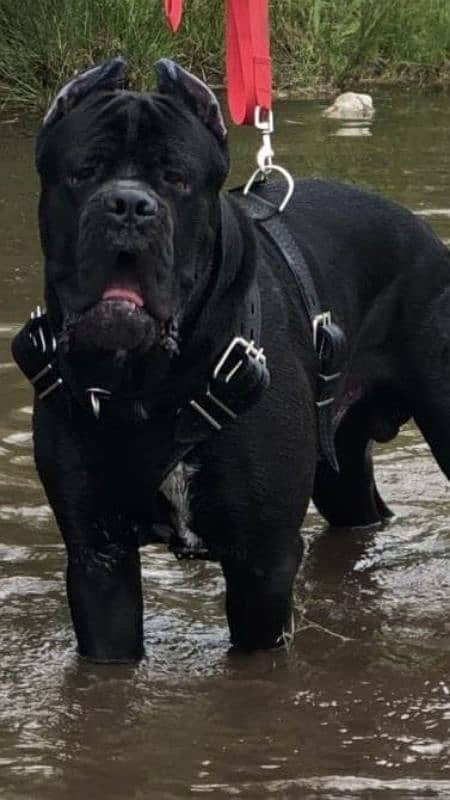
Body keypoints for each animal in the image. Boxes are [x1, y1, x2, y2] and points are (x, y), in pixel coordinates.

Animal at [12, 56, 450, 664]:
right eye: (83, 171)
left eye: (177, 178)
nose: (129, 205)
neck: (145, 383)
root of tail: (426, 235)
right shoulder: (96, 557)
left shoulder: (262, 562)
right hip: (340, 471)